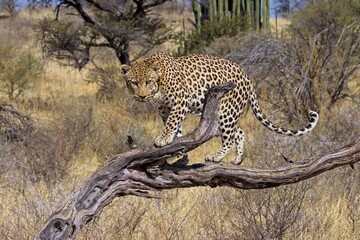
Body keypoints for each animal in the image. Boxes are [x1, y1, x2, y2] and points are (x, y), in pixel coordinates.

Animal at [121, 52, 318, 165]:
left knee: (229, 138)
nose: (141, 96)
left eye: (148, 81)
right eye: (134, 83)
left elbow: (172, 123)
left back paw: (216, 156)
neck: (159, 86)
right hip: (229, 113)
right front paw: (176, 153)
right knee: (239, 132)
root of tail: (246, 75)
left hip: (227, 111)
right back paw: (237, 159)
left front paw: (164, 139)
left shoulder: (179, 102)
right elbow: (176, 128)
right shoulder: (163, 108)